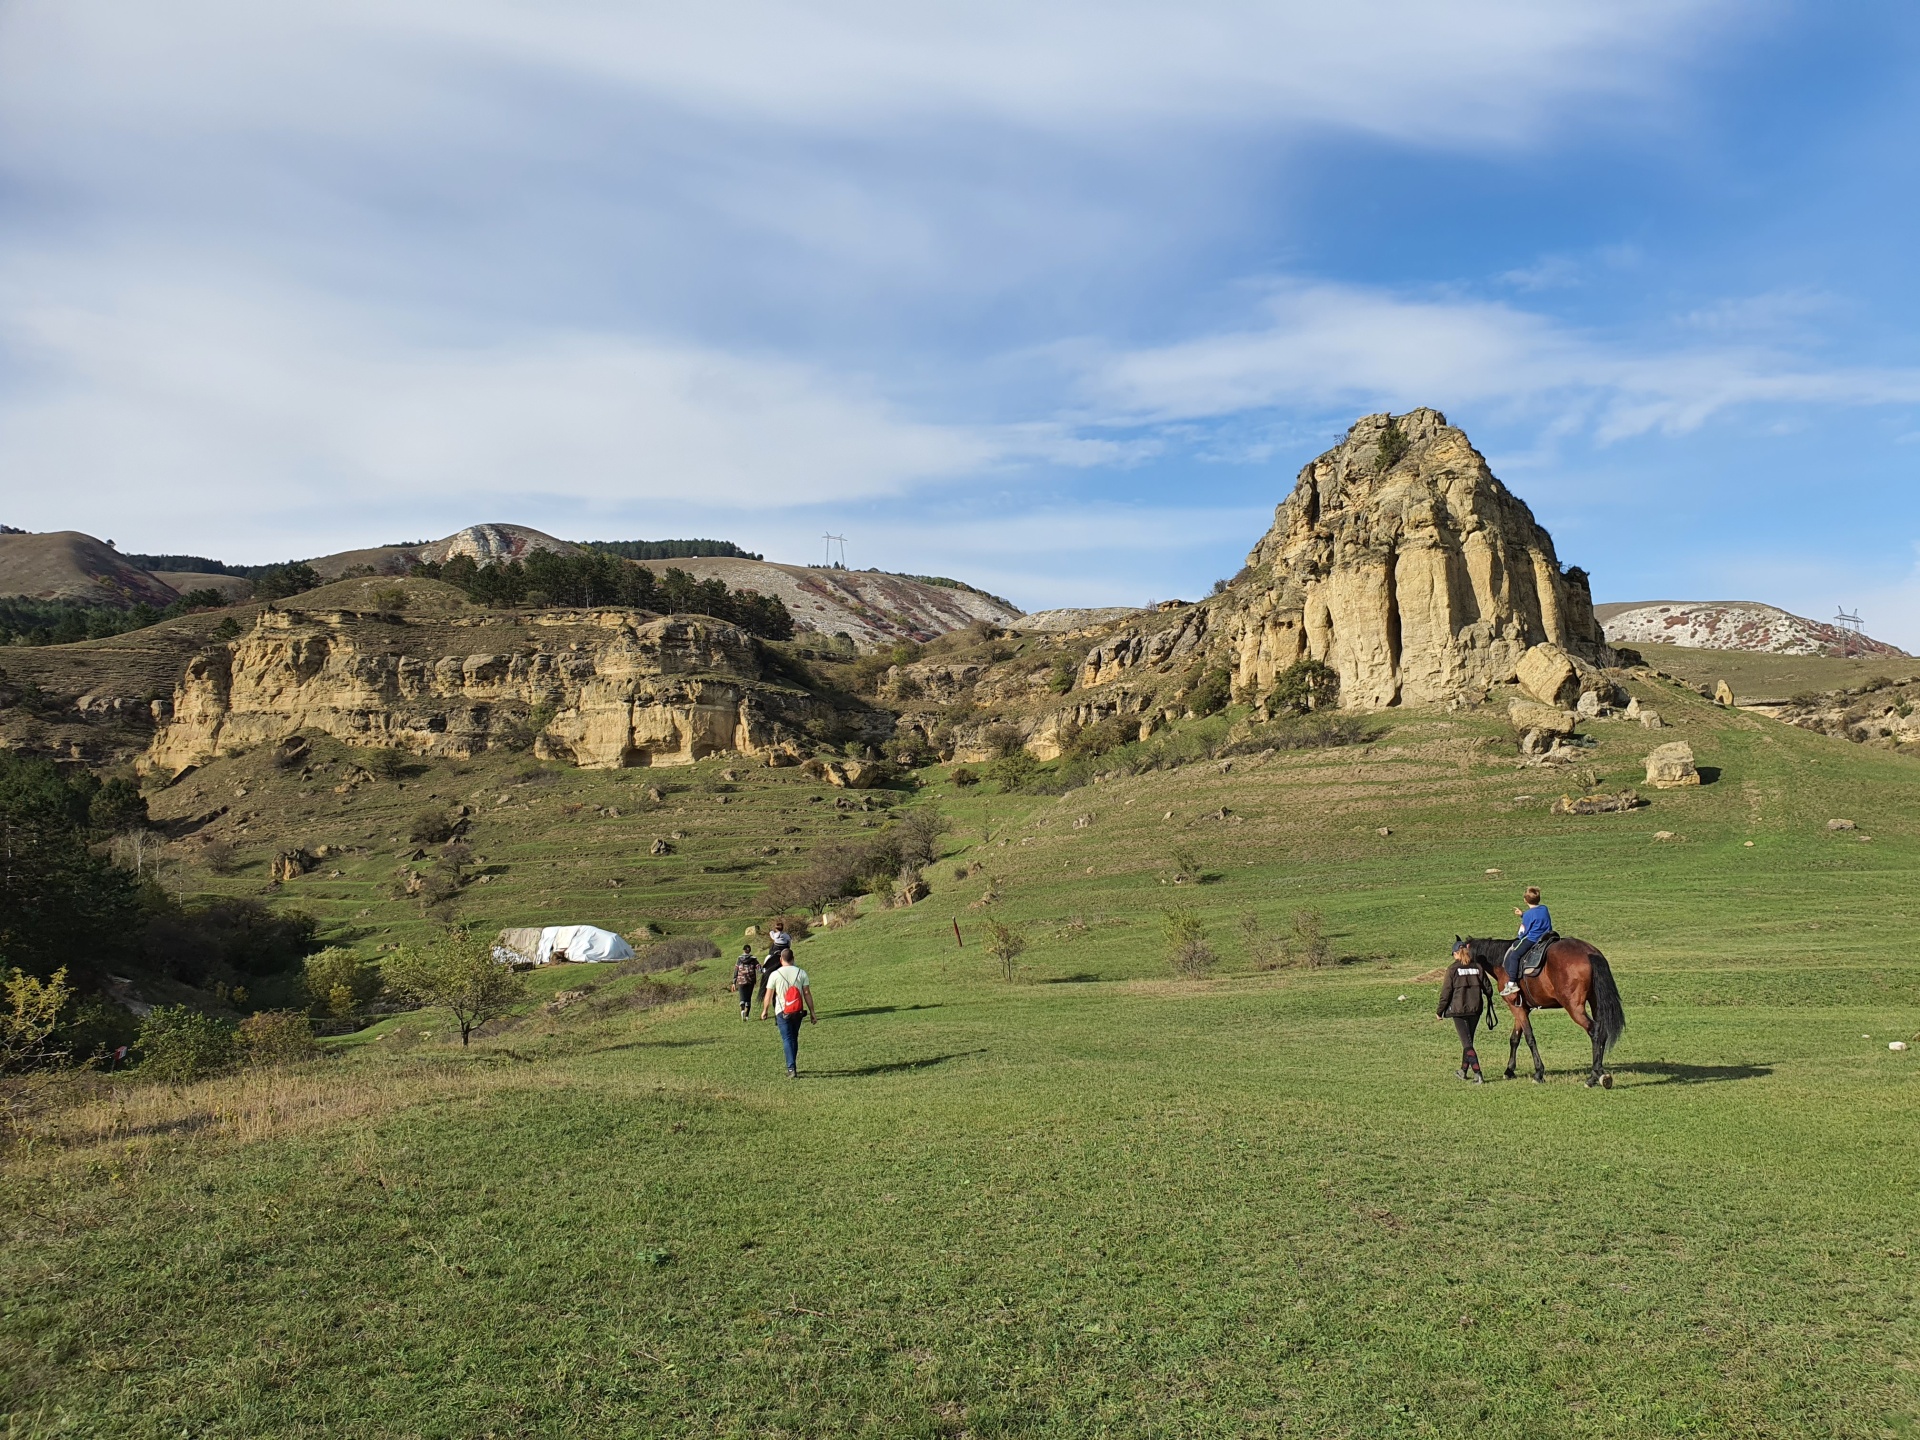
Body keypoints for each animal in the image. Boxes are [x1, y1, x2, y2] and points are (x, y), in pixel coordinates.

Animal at [1451, 940, 1620, 1090]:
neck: (1502, 961)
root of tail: (1589, 952)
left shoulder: (1515, 1007)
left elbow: (1529, 1038)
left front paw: (1538, 1073)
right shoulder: (1522, 1008)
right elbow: (1515, 1038)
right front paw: (1509, 1070)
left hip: (1574, 1008)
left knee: (1594, 1031)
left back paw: (1593, 1076)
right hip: (1596, 1003)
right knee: (1602, 1032)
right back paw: (1600, 1073)